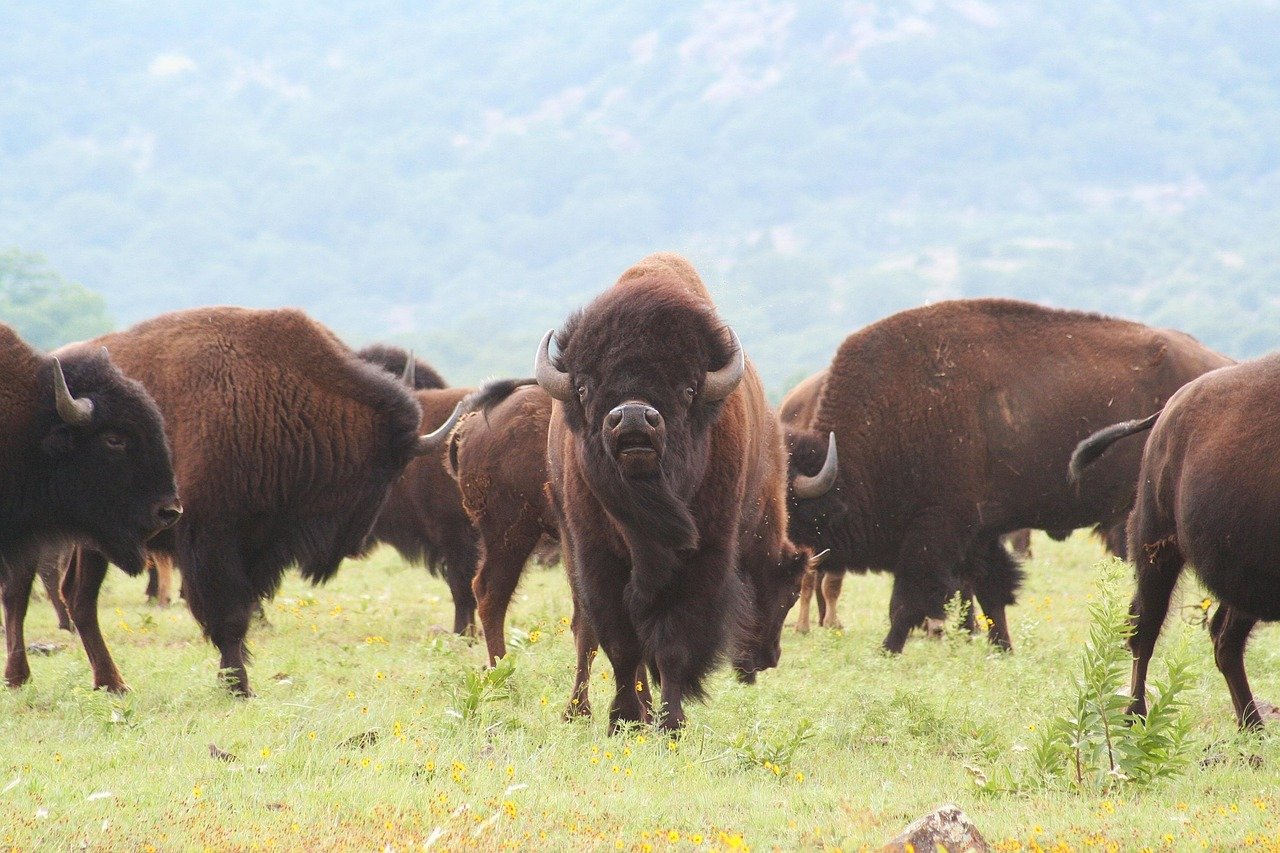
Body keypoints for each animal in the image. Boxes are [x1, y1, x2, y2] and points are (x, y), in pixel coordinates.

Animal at [53, 307, 437, 695]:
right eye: (386, 473)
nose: (357, 545)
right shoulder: (211, 540)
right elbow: (230, 616)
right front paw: (239, 686)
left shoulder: (257, 545)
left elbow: (243, 612)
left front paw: (236, 680)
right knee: (81, 597)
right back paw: (112, 682)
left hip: (95, 542)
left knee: (79, 596)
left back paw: (110, 683)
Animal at [538, 253, 821, 731]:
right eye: (584, 386)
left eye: (688, 388)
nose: (633, 417)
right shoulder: (598, 558)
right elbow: (621, 644)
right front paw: (623, 718)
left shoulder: (702, 559)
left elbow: (672, 646)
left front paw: (670, 723)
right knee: (587, 632)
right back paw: (582, 711)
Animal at [785, 299, 1230, 653]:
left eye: (791, 509)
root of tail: (1222, 365)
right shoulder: (979, 534)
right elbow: (990, 592)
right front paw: (1002, 647)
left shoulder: (935, 531)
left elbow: (908, 600)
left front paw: (887, 649)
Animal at [1070, 355, 1273, 729]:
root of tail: (1167, 411)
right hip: (1156, 549)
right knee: (1145, 629)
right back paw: (1136, 715)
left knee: (1224, 638)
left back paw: (1252, 726)